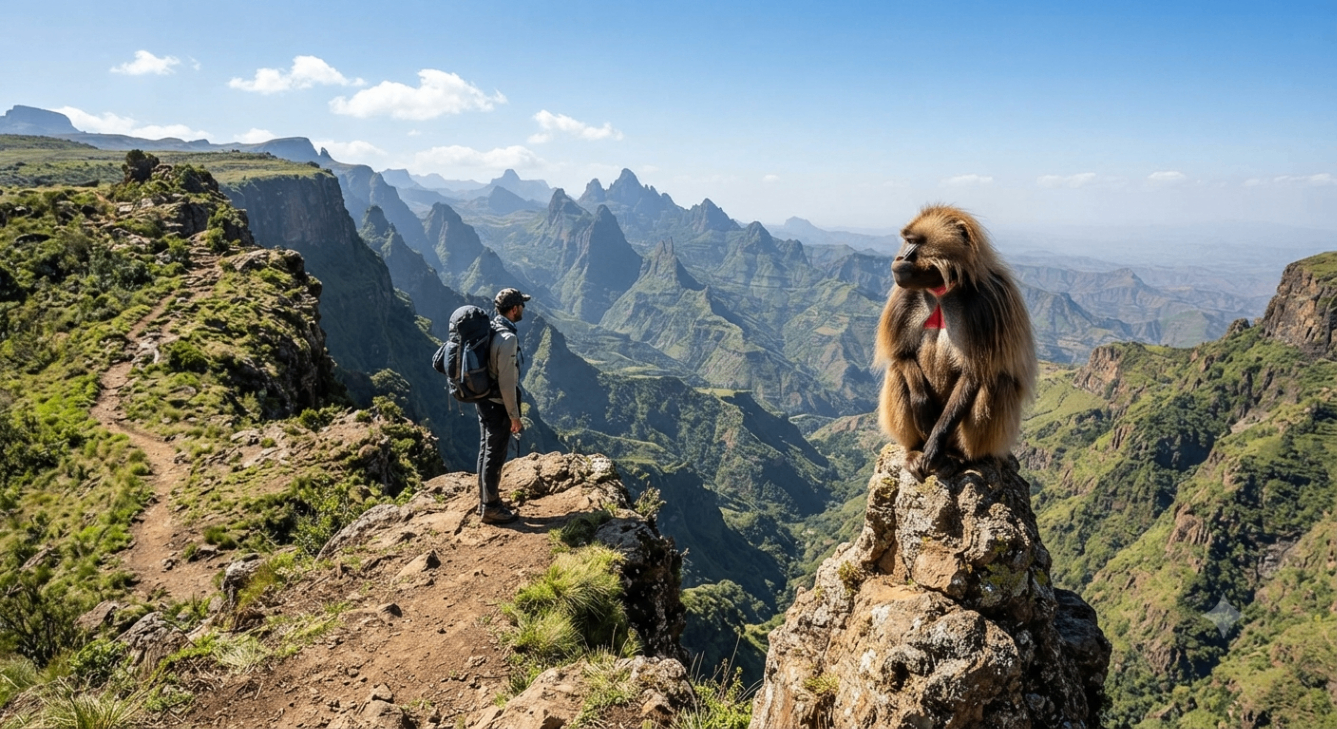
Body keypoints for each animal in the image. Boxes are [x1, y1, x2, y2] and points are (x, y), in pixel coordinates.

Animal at [873, 205, 1037, 480]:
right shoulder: (904, 295)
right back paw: (914, 451)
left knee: (996, 382)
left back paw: (960, 457)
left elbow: (975, 372)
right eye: (907, 240)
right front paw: (921, 404)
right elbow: (902, 356)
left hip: (966, 439)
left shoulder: (990, 302)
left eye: (916, 242)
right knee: (897, 371)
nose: (899, 258)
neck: (943, 288)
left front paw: (935, 443)